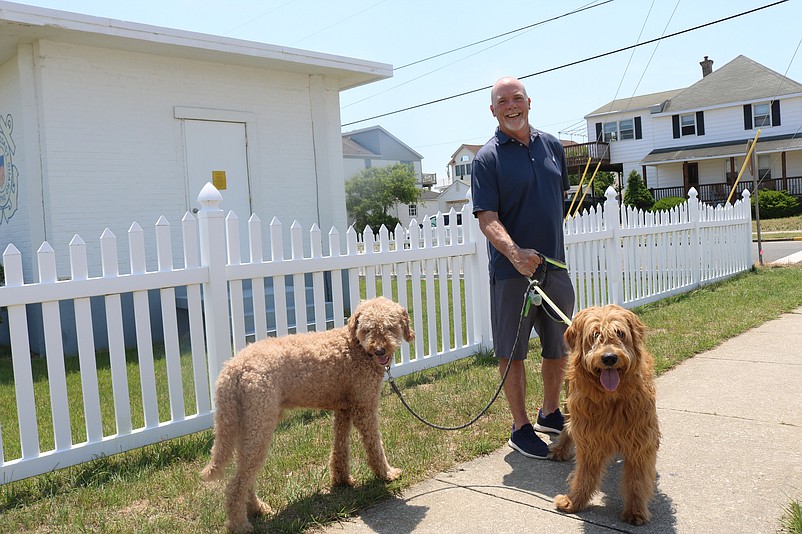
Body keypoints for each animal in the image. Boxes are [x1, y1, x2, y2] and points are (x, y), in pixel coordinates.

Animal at [200, 300, 412, 532]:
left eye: (390, 327)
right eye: (367, 329)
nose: (380, 349)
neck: (355, 348)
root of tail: (232, 369)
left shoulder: (344, 409)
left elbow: (340, 448)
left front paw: (342, 480)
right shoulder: (364, 408)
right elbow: (375, 446)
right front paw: (387, 474)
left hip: (245, 425)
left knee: (245, 476)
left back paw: (257, 509)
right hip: (259, 424)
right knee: (235, 485)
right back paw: (240, 525)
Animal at [548, 306, 660, 528]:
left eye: (619, 333)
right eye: (594, 335)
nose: (609, 358)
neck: (611, 398)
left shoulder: (641, 440)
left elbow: (637, 479)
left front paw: (635, 511)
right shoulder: (589, 438)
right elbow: (584, 475)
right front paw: (574, 501)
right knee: (567, 427)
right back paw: (560, 449)